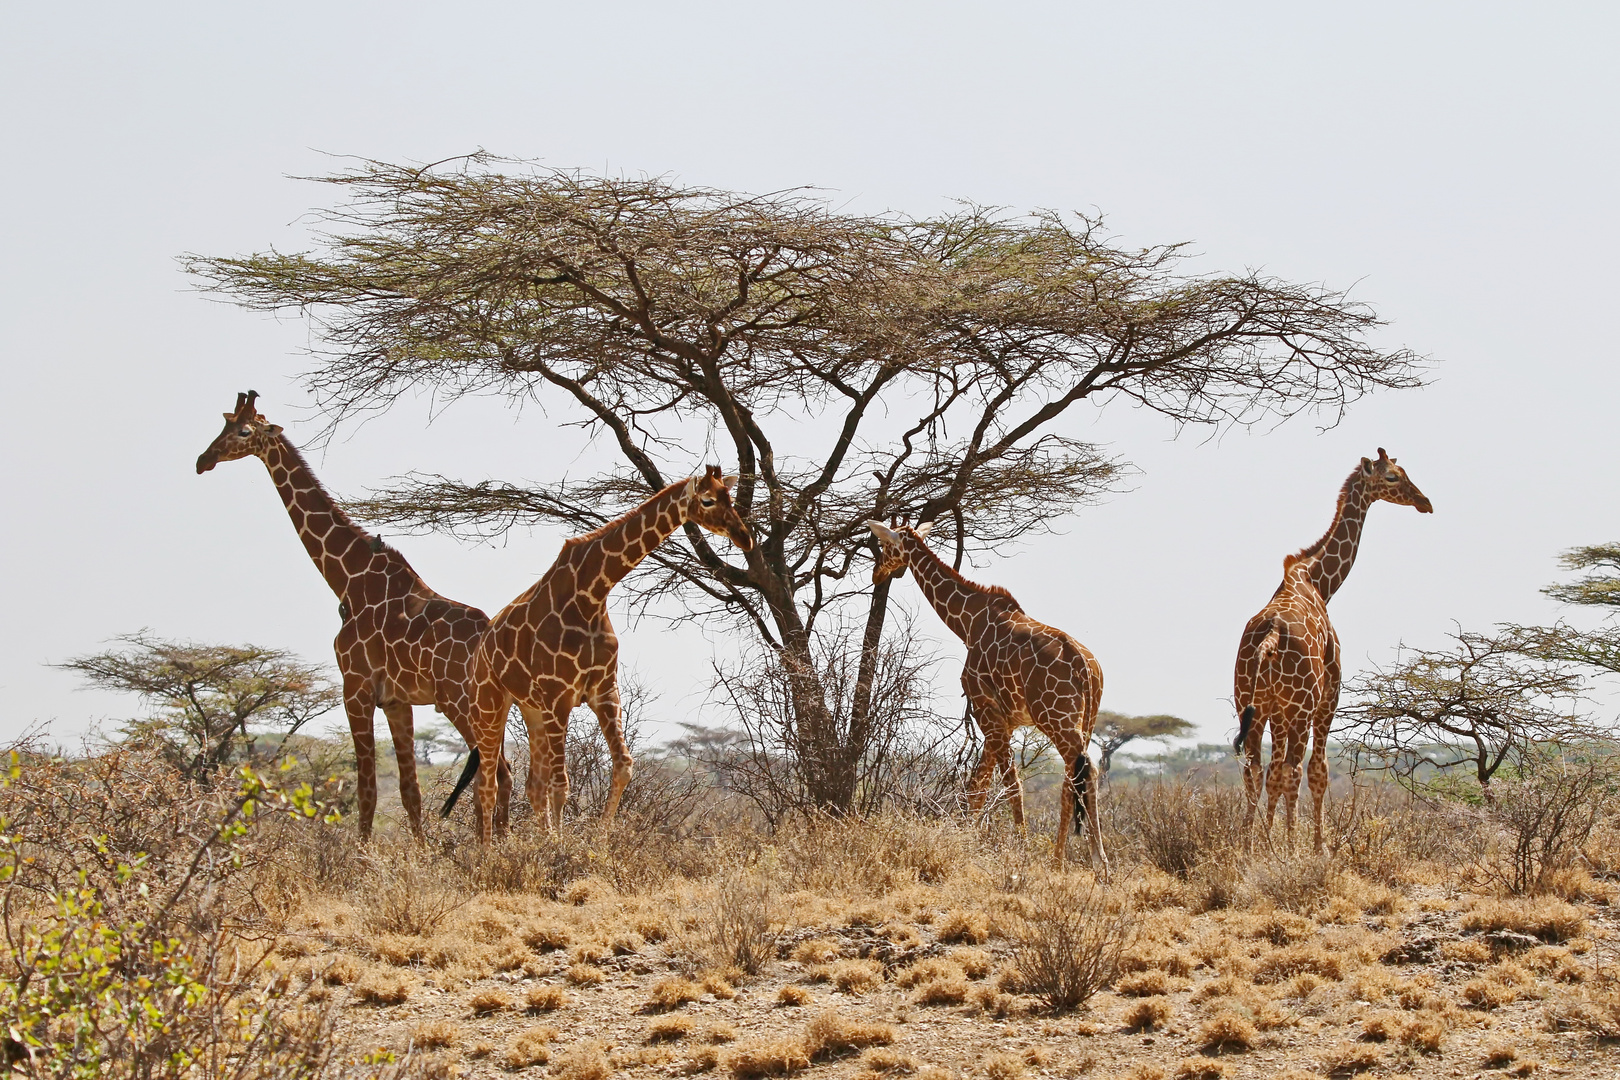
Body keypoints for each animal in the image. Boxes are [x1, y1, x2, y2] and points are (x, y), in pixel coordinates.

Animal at [197, 393, 511, 841]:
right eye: (222, 424)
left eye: (243, 431)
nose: (203, 460)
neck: (348, 579)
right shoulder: (396, 700)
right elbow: (409, 791)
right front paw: (420, 853)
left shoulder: (356, 688)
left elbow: (366, 790)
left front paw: (362, 855)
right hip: (487, 705)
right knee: (503, 771)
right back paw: (507, 842)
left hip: (460, 701)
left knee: (495, 773)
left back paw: (493, 847)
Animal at [463, 466, 751, 841]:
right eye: (708, 500)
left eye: (730, 497)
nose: (745, 538)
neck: (592, 593)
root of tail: (480, 647)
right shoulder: (559, 696)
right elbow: (562, 783)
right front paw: (560, 847)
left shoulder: (603, 690)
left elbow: (623, 766)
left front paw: (597, 840)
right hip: (489, 703)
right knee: (488, 784)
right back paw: (488, 851)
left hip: (531, 709)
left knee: (532, 785)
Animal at [868, 518, 1108, 874]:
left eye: (885, 545)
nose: (877, 573)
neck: (967, 623)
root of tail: (1086, 669)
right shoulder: (1004, 720)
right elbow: (978, 786)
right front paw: (967, 839)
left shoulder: (986, 710)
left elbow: (1008, 785)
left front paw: (1019, 849)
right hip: (1086, 721)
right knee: (1076, 777)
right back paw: (1072, 861)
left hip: (1056, 718)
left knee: (1080, 775)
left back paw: (1086, 861)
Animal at [1231, 446, 1438, 854]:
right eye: (1392, 477)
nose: (1425, 502)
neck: (1320, 583)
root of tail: (1270, 636)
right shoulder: (1328, 699)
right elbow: (1319, 771)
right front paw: (1315, 847)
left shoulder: (1277, 711)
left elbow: (1273, 774)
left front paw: (1269, 840)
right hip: (1301, 707)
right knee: (1295, 769)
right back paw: (1289, 850)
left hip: (1250, 704)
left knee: (1256, 769)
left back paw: (1247, 849)